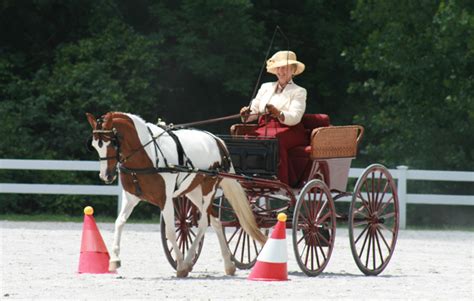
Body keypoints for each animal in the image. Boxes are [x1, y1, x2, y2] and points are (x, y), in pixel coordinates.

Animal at [87, 112, 264, 276]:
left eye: (112, 143)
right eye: (95, 145)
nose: (106, 176)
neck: (147, 156)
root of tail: (216, 140)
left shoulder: (165, 199)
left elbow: (171, 232)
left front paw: (180, 265)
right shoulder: (130, 198)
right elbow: (119, 222)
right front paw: (114, 260)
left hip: (208, 188)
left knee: (202, 223)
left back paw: (188, 260)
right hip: (193, 191)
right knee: (215, 221)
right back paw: (228, 265)